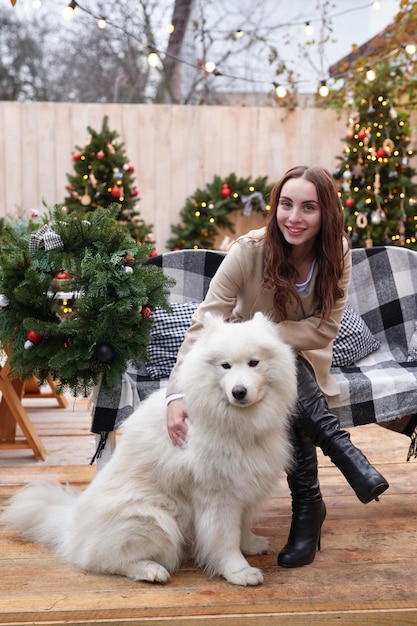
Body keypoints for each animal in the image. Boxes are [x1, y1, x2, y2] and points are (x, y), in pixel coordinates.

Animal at [2, 312, 296, 584]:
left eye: (254, 362)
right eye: (225, 366)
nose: (239, 391)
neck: (236, 421)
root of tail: (70, 525)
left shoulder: (246, 484)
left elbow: (242, 526)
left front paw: (250, 544)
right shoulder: (218, 495)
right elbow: (225, 539)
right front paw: (238, 571)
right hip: (153, 519)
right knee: (104, 559)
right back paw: (151, 570)